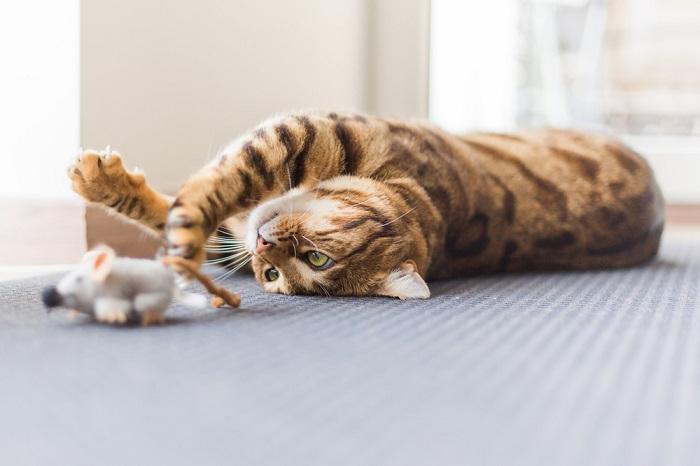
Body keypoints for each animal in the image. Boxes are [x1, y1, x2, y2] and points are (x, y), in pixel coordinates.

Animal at [68, 112, 664, 298]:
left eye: (310, 263)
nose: (264, 246)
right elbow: (194, 195)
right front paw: (102, 181)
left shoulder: (299, 134)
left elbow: (204, 196)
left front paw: (182, 239)